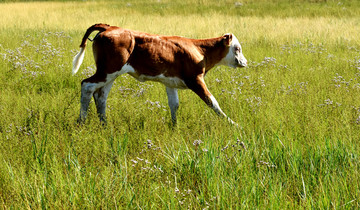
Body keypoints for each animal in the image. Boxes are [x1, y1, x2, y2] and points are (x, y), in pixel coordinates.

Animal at [72, 23, 248, 124]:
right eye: (237, 48)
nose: (245, 62)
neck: (200, 50)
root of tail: (110, 28)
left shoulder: (170, 83)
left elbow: (174, 105)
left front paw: (174, 127)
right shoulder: (195, 80)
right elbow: (212, 102)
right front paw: (232, 123)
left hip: (110, 75)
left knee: (101, 95)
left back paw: (104, 124)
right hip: (108, 71)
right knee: (87, 85)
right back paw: (81, 122)